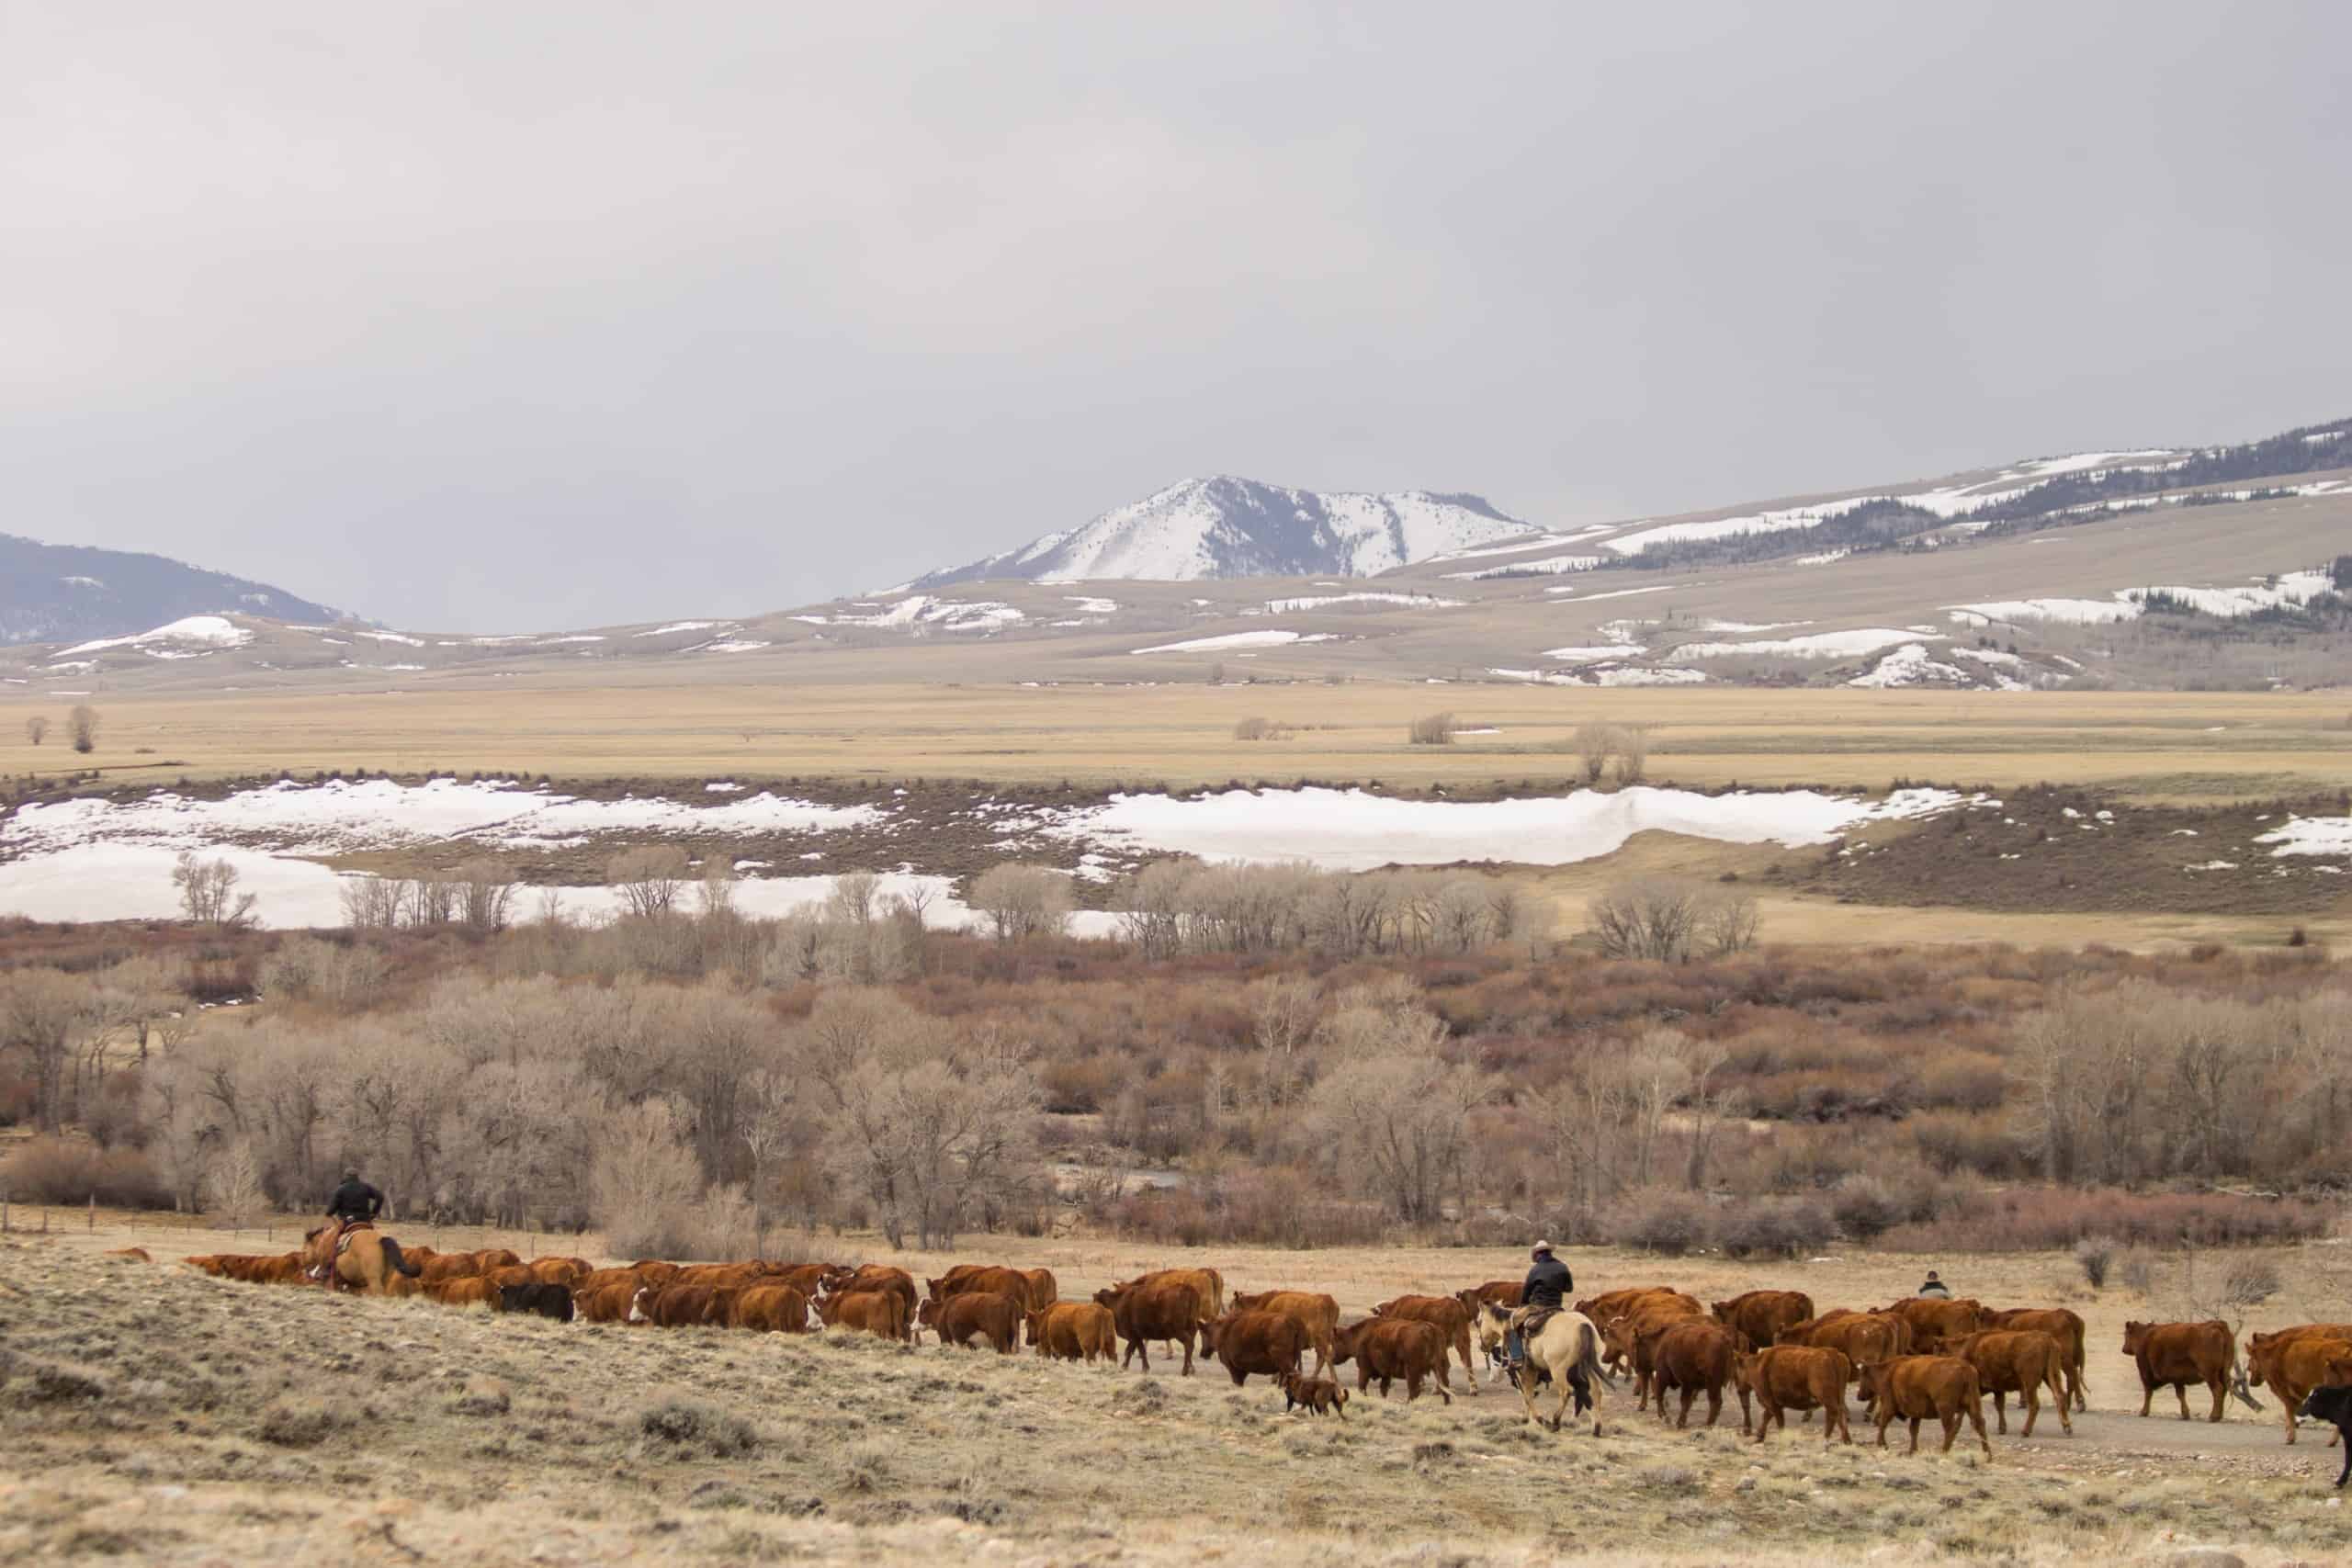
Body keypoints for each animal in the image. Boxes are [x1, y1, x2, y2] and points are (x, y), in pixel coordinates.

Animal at [1331, 1317, 1452, 1404]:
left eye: (1334, 1342)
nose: (1332, 1359)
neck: (1358, 1335)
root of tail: (1430, 1329)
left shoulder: (1364, 1370)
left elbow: (1362, 1387)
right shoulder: (1386, 1375)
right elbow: (1383, 1390)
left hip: (1412, 1371)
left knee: (1414, 1390)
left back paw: (1408, 1403)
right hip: (1440, 1367)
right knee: (1445, 1385)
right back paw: (1447, 1404)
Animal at [1859, 1355, 1991, 1457]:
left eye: (1863, 1377)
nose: (1859, 1396)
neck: (1888, 1372)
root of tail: (1965, 1367)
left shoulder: (1889, 1405)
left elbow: (1883, 1423)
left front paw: (1882, 1444)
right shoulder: (1916, 1414)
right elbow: (1913, 1431)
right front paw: (1912, 1451)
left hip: (1945, 1409)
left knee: (1950, 1429)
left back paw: (1944, 1451)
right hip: (1972, 1405)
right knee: (1979, 1424)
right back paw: (1988, 1455)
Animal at [1948, 1330, 2071, 1437]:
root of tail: (2047, 1339)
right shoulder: (1998, 1389)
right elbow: (1999, 1406)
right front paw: (2002, 1428)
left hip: (2029, 1382)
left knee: (2034, 1404)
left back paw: (2025, 1431)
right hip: (2052, 1375)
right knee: (2060, 1395)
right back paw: (2067, 1427)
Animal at [2122, 1319, 2257, 1424]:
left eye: (2126, 1334)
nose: (2123, 1349)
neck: (2144, 1336)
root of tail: (2217, 1324)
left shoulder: (2146, 1374)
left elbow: (2148, 1393)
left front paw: (2143, 1412)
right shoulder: (2178, 1379)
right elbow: (2181, 1395)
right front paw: (2185, 1414)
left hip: (2210, 1374)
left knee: (2217, 1390)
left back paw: (2213, 1417)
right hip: (2222, 1372)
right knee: (2223, 1390)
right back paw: (2219, 1416)